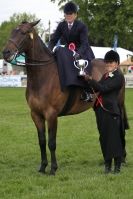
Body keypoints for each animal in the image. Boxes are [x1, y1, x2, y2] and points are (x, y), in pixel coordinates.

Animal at [2, 21, 128, 175]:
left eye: (23, 33)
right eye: (12, 31)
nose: (6, 53)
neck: (43, 76)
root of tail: (116, 69)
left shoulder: (51, 114)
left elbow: (51, 143)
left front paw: (53, 168)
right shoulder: (36, 115)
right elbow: (42, 141)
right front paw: (43, 167)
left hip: (118, 106)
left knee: (120, 130)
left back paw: (121, 159)